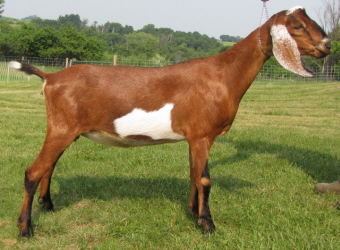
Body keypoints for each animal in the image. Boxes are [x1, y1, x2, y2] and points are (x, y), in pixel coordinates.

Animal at [9, 5, 330, 236]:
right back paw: (26, 229)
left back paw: (48, 206)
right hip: (61, 127)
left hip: (66, 130)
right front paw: (208, 225)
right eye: (298, 25)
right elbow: (205, 178)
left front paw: (192, 213)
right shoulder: (202, 135)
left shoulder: (194, 137)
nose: (327, 46)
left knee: (49, 167)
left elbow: (193, 174)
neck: (223, 75)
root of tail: (50, 77)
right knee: (33, 171)